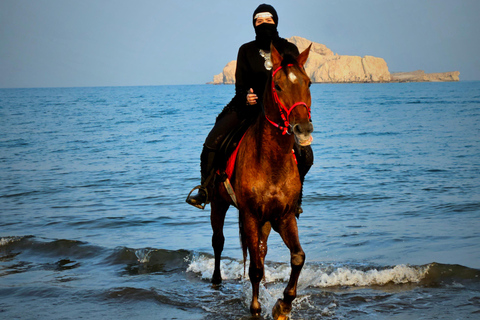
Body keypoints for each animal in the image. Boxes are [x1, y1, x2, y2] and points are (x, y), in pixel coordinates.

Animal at [212, 43, 314, 320]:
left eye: (309, 83)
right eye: (277, 86)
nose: (303, 129)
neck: (271, 162)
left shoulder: (284, 216)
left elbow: (298, 257)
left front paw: (283, 304)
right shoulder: (249, 215)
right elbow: (254, 268)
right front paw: (256, 308)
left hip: (266, 221)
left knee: (260, 249)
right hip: (218, 203)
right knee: (218, 241)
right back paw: (216, 280)